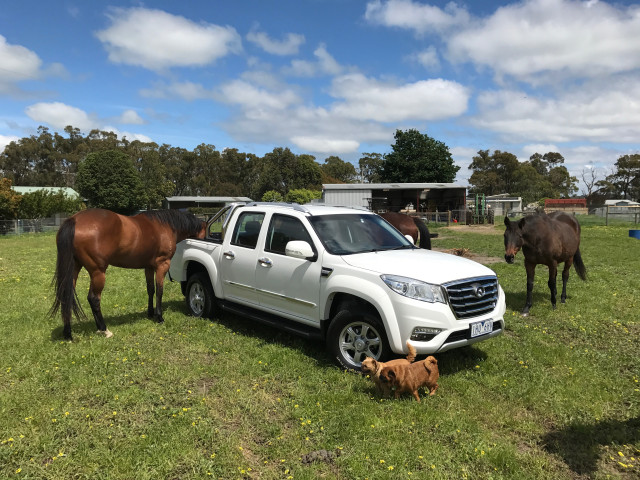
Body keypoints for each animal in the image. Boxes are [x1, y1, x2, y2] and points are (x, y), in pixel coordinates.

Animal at [50, 208, 205, 340]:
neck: (166, 226)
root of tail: (75, 220)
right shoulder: (162, 265)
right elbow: (160, 291)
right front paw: (159, 317)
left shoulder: (149, 267)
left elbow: (151, 290)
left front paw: (150, 313)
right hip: (97, 272)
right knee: (93, 298)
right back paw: (103, 329)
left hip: (74, 268)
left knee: (66, 295)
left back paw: (68, 334)